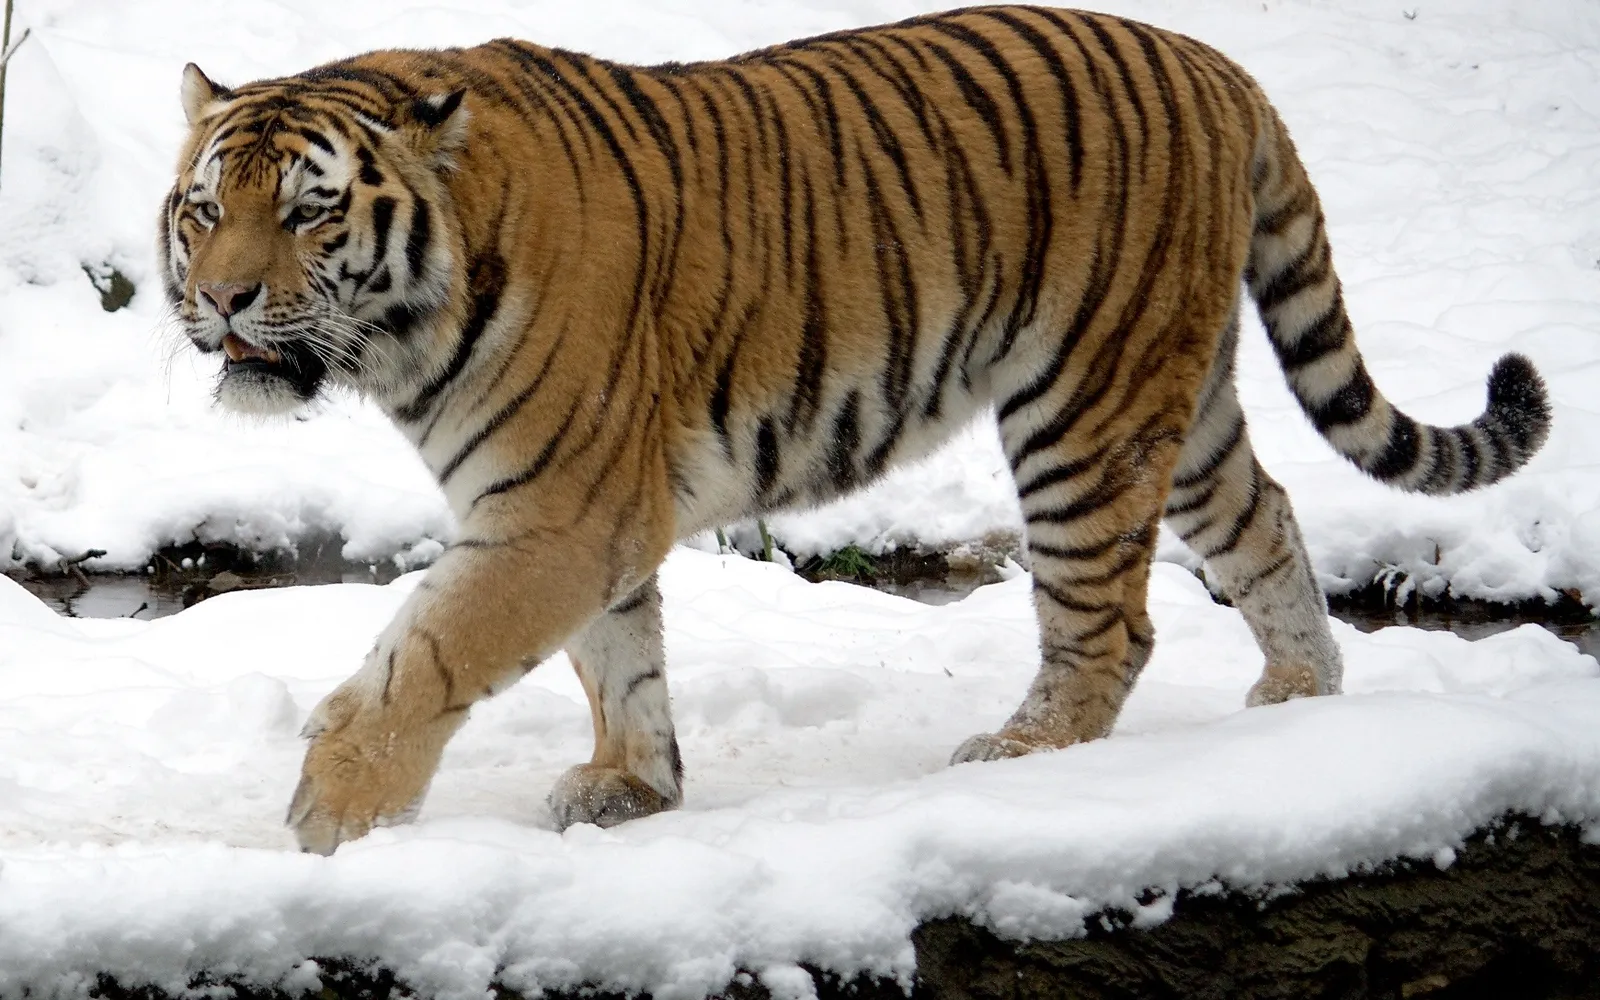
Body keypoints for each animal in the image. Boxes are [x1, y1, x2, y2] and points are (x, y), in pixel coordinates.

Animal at [160, 6, 1550, 854]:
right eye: (205, 208)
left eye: (308, 212)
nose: (220, 299)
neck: (407, 326)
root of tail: (1220, 66)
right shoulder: (581, 512)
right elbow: (619, 657)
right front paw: (633, 786)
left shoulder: (556, 512)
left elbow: (428, 656)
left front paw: (331, 816)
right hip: (1179, 393)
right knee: (1262, 517)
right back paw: (1296, 704)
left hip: (1083, 406)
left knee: (1111, 619)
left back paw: (1020, 755)